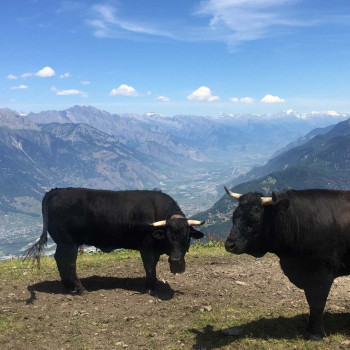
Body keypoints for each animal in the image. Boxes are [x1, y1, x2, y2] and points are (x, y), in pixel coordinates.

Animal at [26, 187, 205, 294]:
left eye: (186, 237)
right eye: (168, 237)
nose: (175, 261)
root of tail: (56, 190)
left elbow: (153, 265)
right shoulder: (146, 246)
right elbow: (149, 267)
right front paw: (149, 287)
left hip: (64, 243)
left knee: (60, 260)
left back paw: (68, 287)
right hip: (68, 243)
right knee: (68, 262)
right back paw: (79, 289)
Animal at [224, 187, 350, 340]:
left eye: (254, 219)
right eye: (234, 216)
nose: (230, 244)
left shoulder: (323, 271)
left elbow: (318, 302)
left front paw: (316, 333)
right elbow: (311, 301)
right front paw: (309, 329)